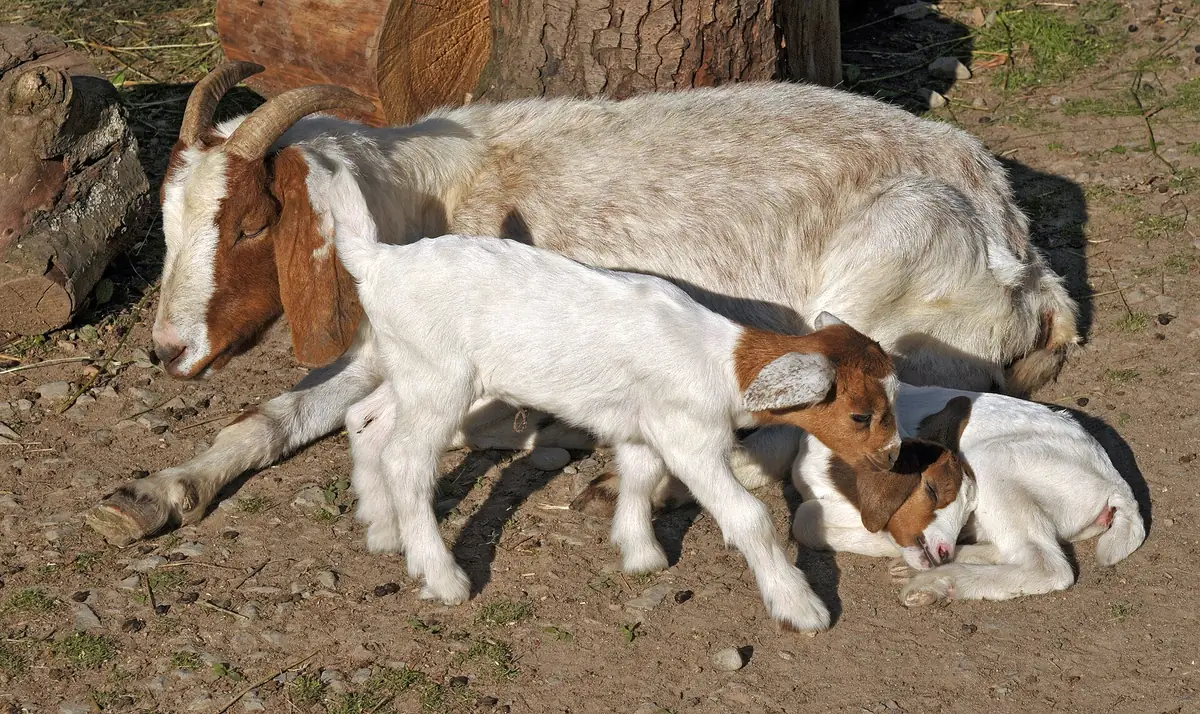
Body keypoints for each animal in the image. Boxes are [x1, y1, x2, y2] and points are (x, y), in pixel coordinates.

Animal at [88, 61, 1078, 546]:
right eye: (169, 220)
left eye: (254, 223)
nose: (167, 351)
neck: (435, 193)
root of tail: (1022, 249)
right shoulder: (385, 344)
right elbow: (277, 414)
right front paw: (156, 491)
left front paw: (542, 430)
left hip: (877, 267)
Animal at [329, 165, 900, 629]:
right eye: (860, 415)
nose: (893, 458)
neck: (721, 358)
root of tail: (377, 261)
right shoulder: (691, 438)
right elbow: (748, 516)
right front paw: (800, 607)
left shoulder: (643, 425)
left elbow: (640, 476)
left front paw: (640, 553)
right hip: (439, 380)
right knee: (406, 459)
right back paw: (444, 577)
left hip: (411, 367)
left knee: (365, 418)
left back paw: (382, 529)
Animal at [791, 384, 1146, 605]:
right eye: (931, 489)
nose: (943, 550)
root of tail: (1116, 483)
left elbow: (805, 518)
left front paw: (882, 543)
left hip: (993, 460)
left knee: (1046, 566)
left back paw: (934, 583)